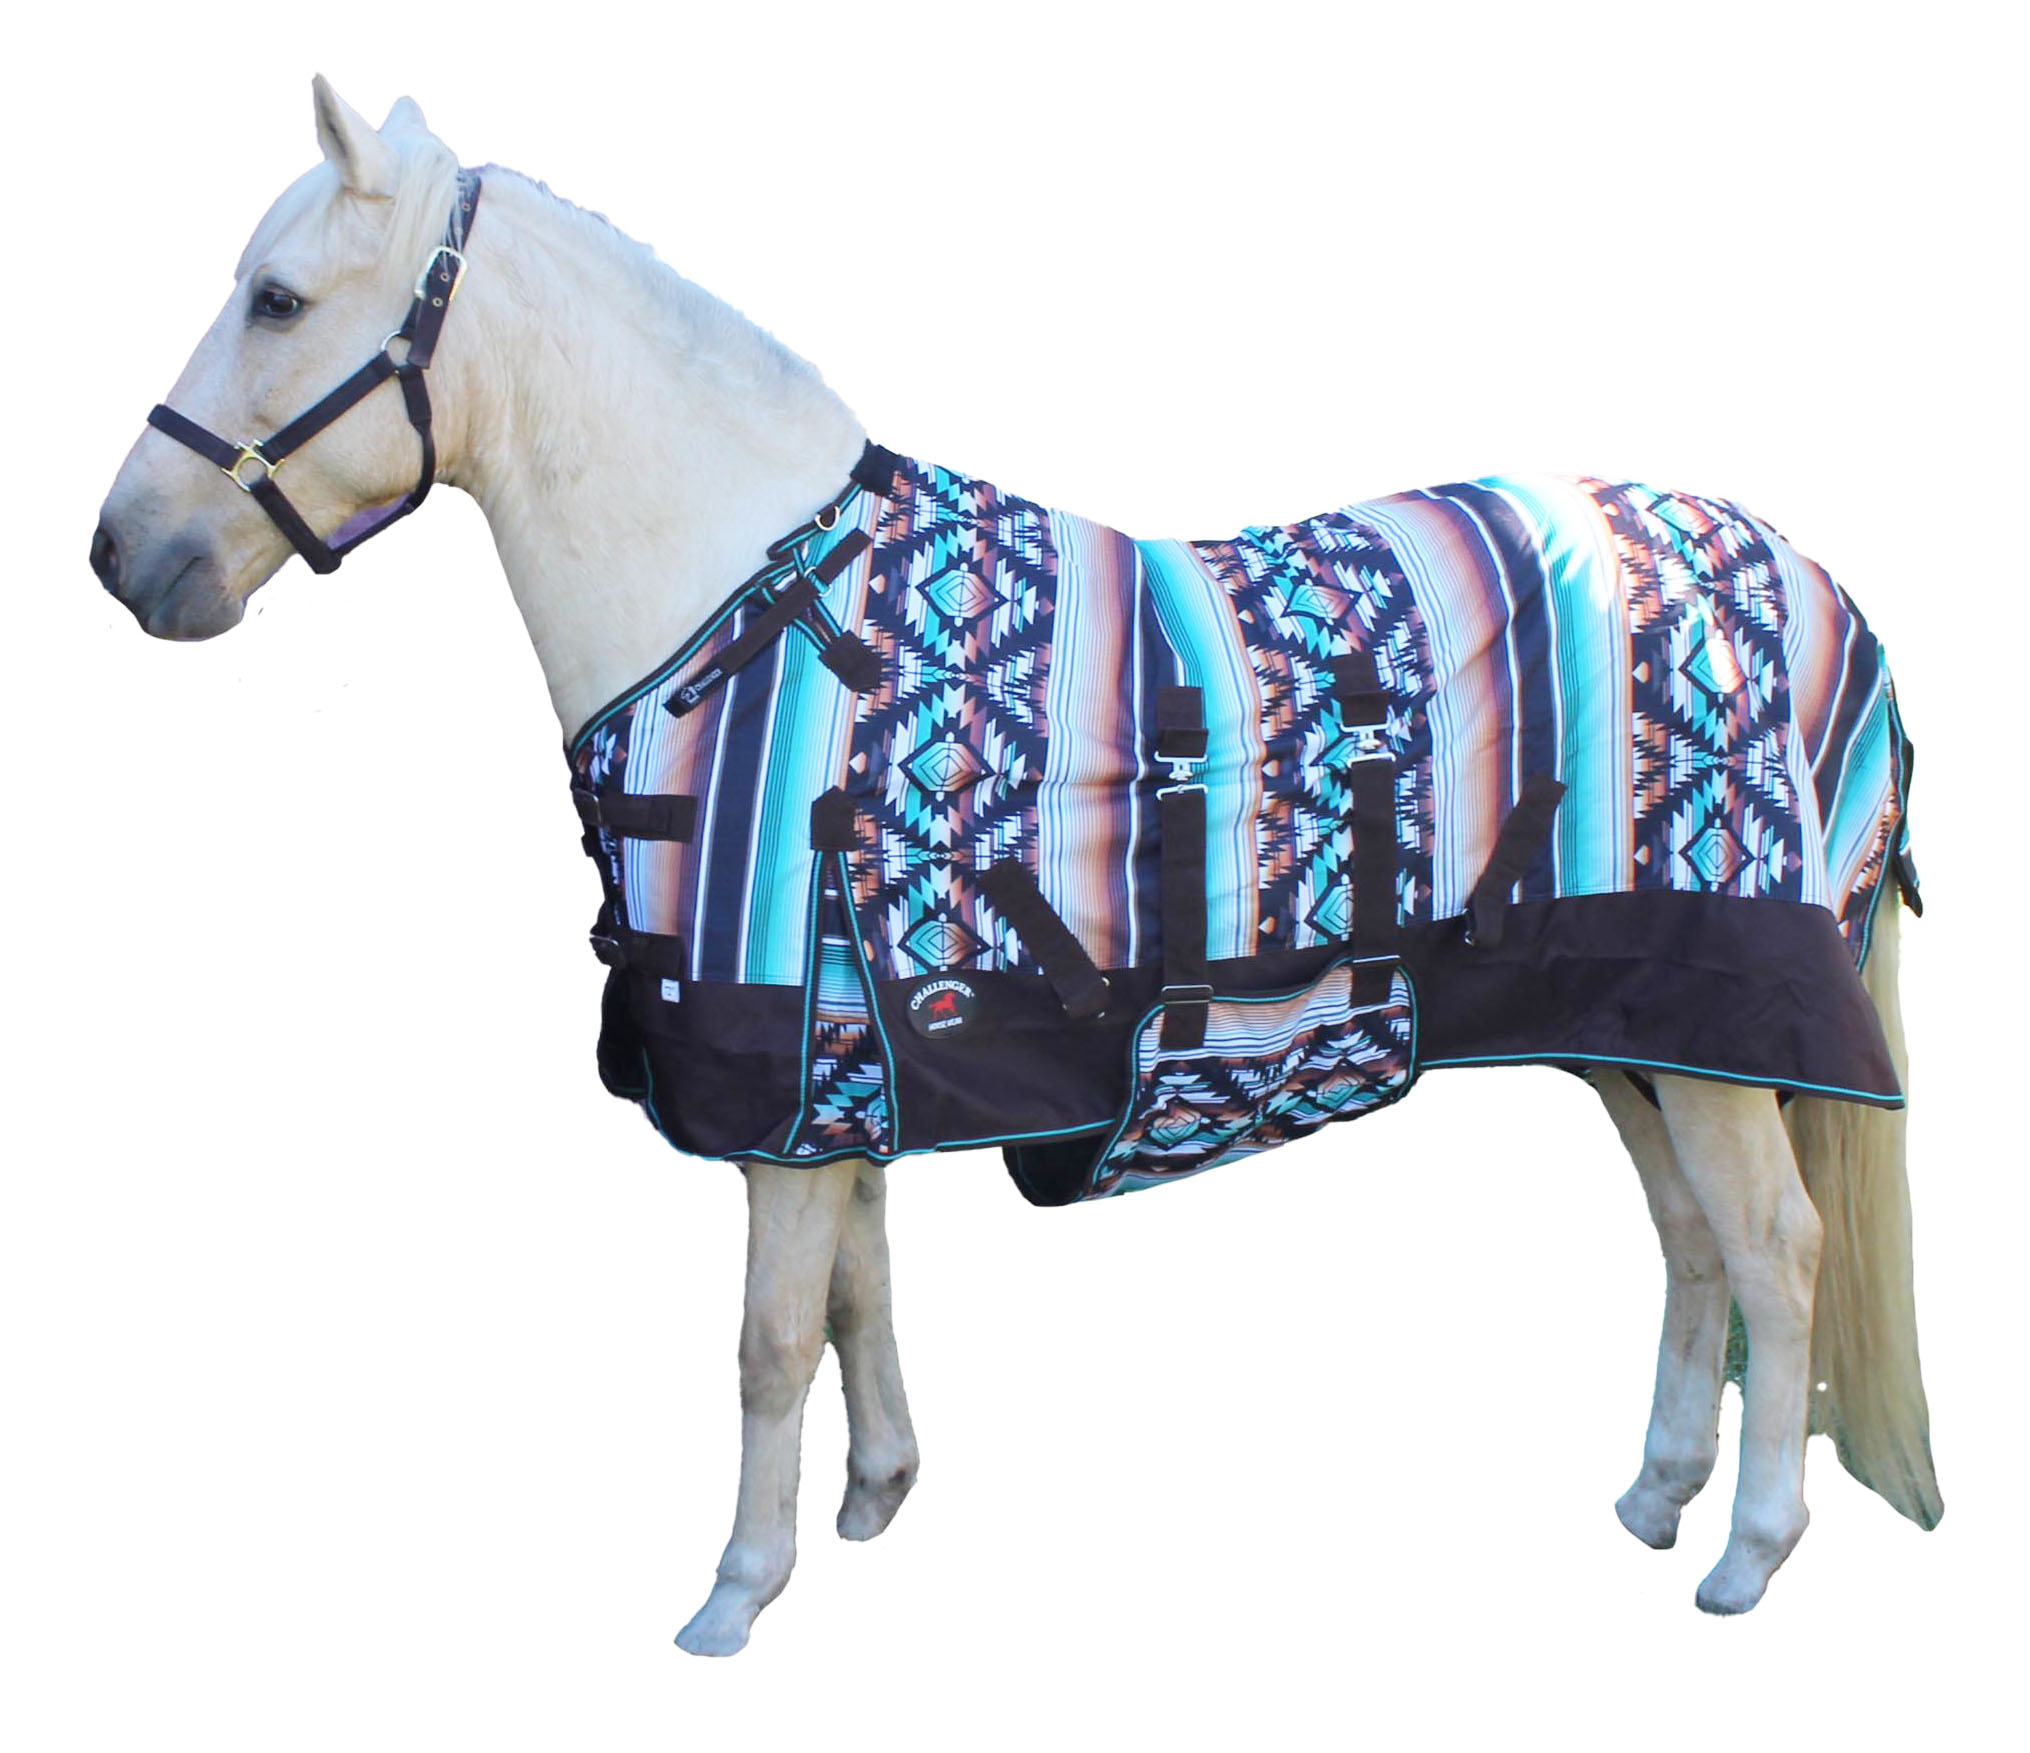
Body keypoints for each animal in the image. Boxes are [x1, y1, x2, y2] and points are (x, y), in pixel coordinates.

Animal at [91, 78, 1940, 1656]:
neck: (749, 616)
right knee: (1695, 1246)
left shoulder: (783, 1070)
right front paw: (875, 1497)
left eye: (276, 301)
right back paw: (1653, 1493)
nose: (123, 558)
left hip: (1712, 1022)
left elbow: (769, 1337)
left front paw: (735, 1593)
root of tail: (1819, 585)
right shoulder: (850, 1069)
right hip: (1633, 1032)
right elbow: (856, 1293)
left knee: (1773, 1246)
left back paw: (1747, 1548)